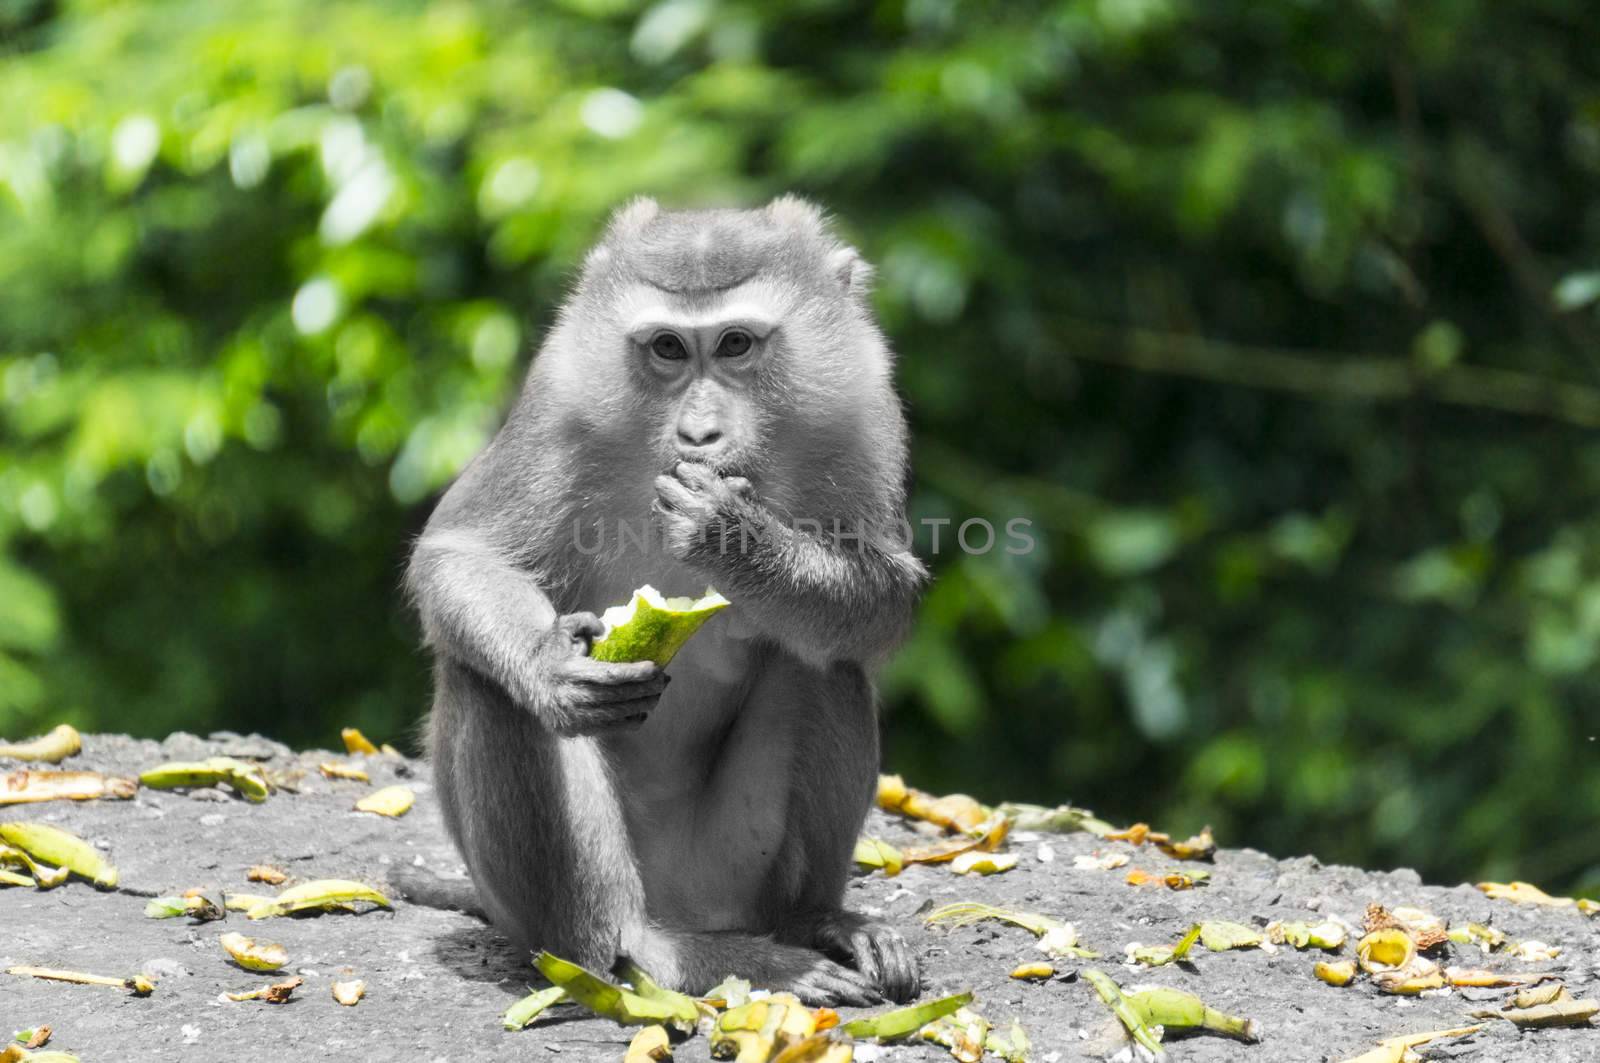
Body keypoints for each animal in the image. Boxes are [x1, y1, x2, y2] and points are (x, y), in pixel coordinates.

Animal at [403, 196, 928, 1005]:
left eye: (736, 344)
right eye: (669, 349)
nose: (699, 432)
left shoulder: (860, 414)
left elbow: (887, 597)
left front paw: (736, 538)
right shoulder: (558, 405)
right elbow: (461, 553)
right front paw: (547, 666)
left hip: (733, 874)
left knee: (825, 664)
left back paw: (814, 923)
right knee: (486, 682)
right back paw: (639, 952)